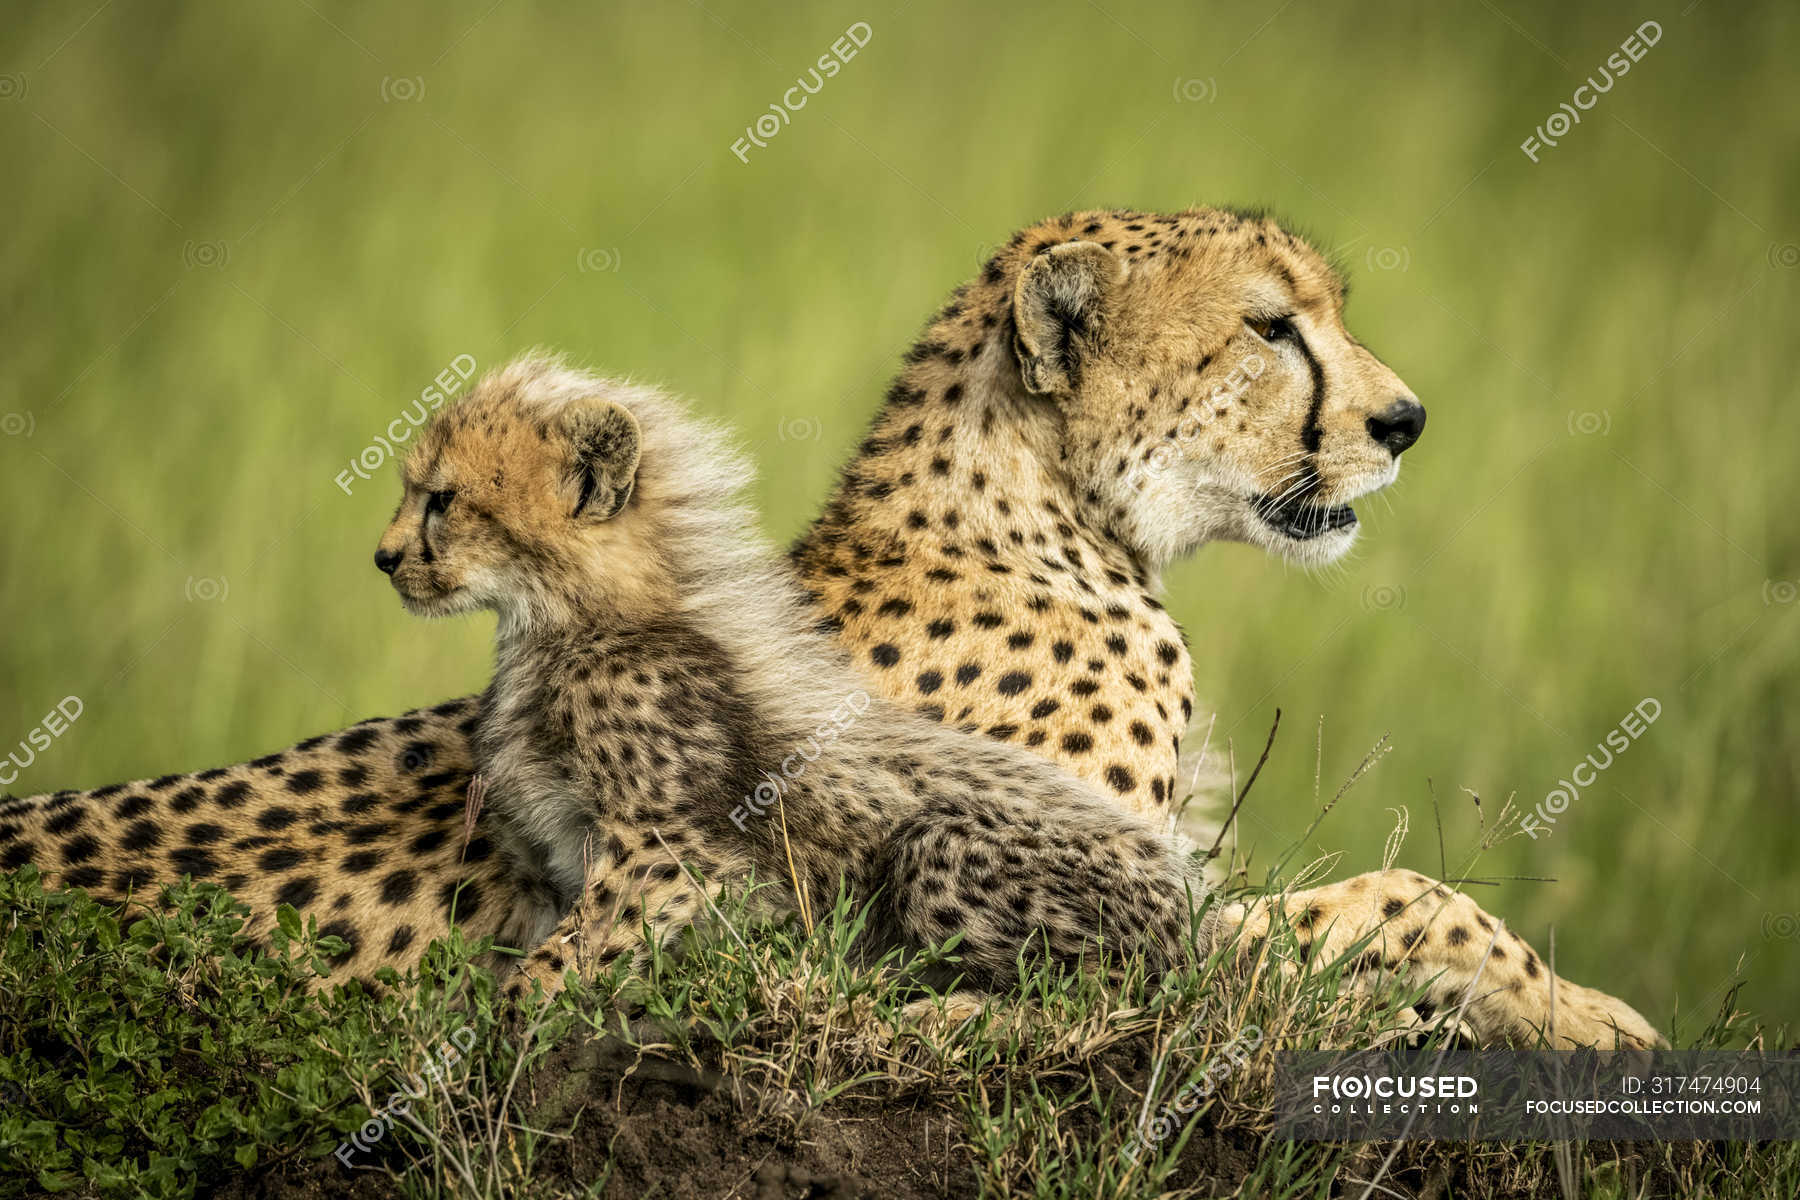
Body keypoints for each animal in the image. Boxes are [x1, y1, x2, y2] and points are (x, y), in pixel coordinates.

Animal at [0, 208, 1656, 1050]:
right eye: (1269, 326)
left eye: (1329, 310)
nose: (1406, 420)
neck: (1050, 516)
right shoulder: (1058, 928)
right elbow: (1403, 898)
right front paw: (1590, 1012)